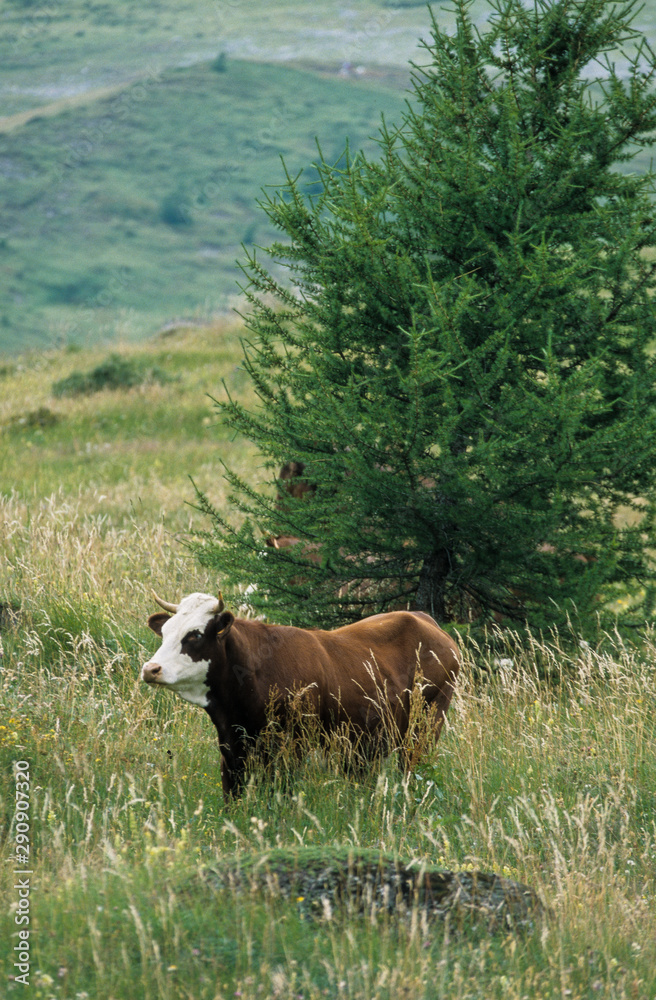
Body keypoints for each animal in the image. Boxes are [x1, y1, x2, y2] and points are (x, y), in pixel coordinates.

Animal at [141, 591, 461, 798]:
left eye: (194, 635)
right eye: (165, 631)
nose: (151, 668)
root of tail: (422, 618)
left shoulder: (291, 747)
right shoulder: (231, 746)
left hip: (426, 725)